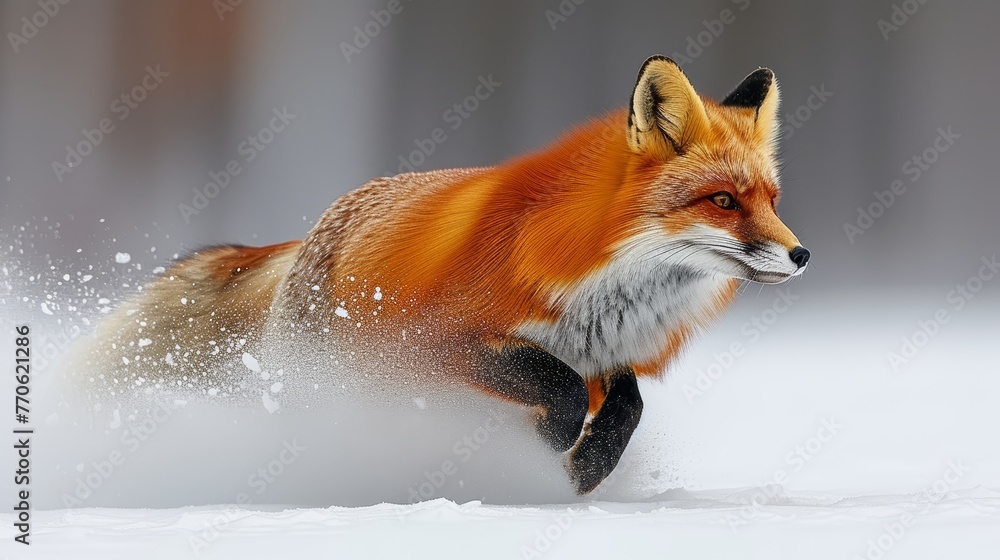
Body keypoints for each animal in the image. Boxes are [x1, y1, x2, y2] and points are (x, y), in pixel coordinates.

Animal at [80, 56, 809, 494]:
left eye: (772, 200)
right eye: (724, 200)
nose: (802, 255)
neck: (601, 285)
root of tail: (319, 222)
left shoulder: (605, 350)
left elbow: (626, 405)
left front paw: (585, 468)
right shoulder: (439, 341)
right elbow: (561, 387)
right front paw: (547, 453)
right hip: (343, 376)